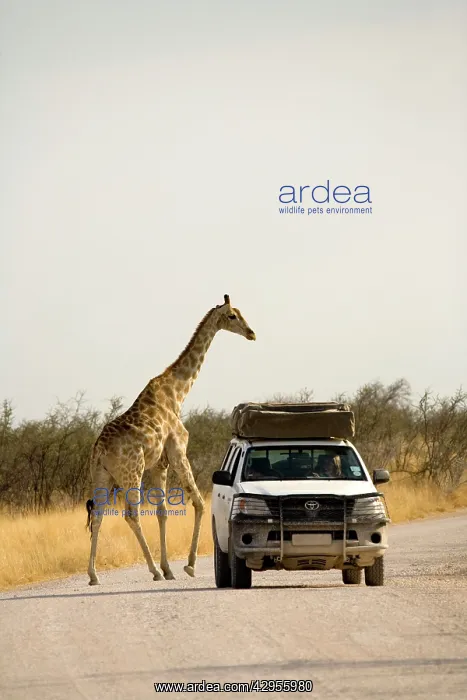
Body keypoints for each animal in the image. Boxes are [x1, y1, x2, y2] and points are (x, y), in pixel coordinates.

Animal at [85, 294, 256, 585]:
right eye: (232, 315)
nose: (251, 333)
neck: (178, 391)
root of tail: (99, 449)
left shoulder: (159, 463)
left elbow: (162, 512)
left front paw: (169, 569)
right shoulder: (178, 451)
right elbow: (198, 502)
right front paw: (188, 565)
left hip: (103, 474)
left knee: (97, 514)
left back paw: (94, 575)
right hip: (132, 471)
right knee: (131, 514)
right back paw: (152, 570)